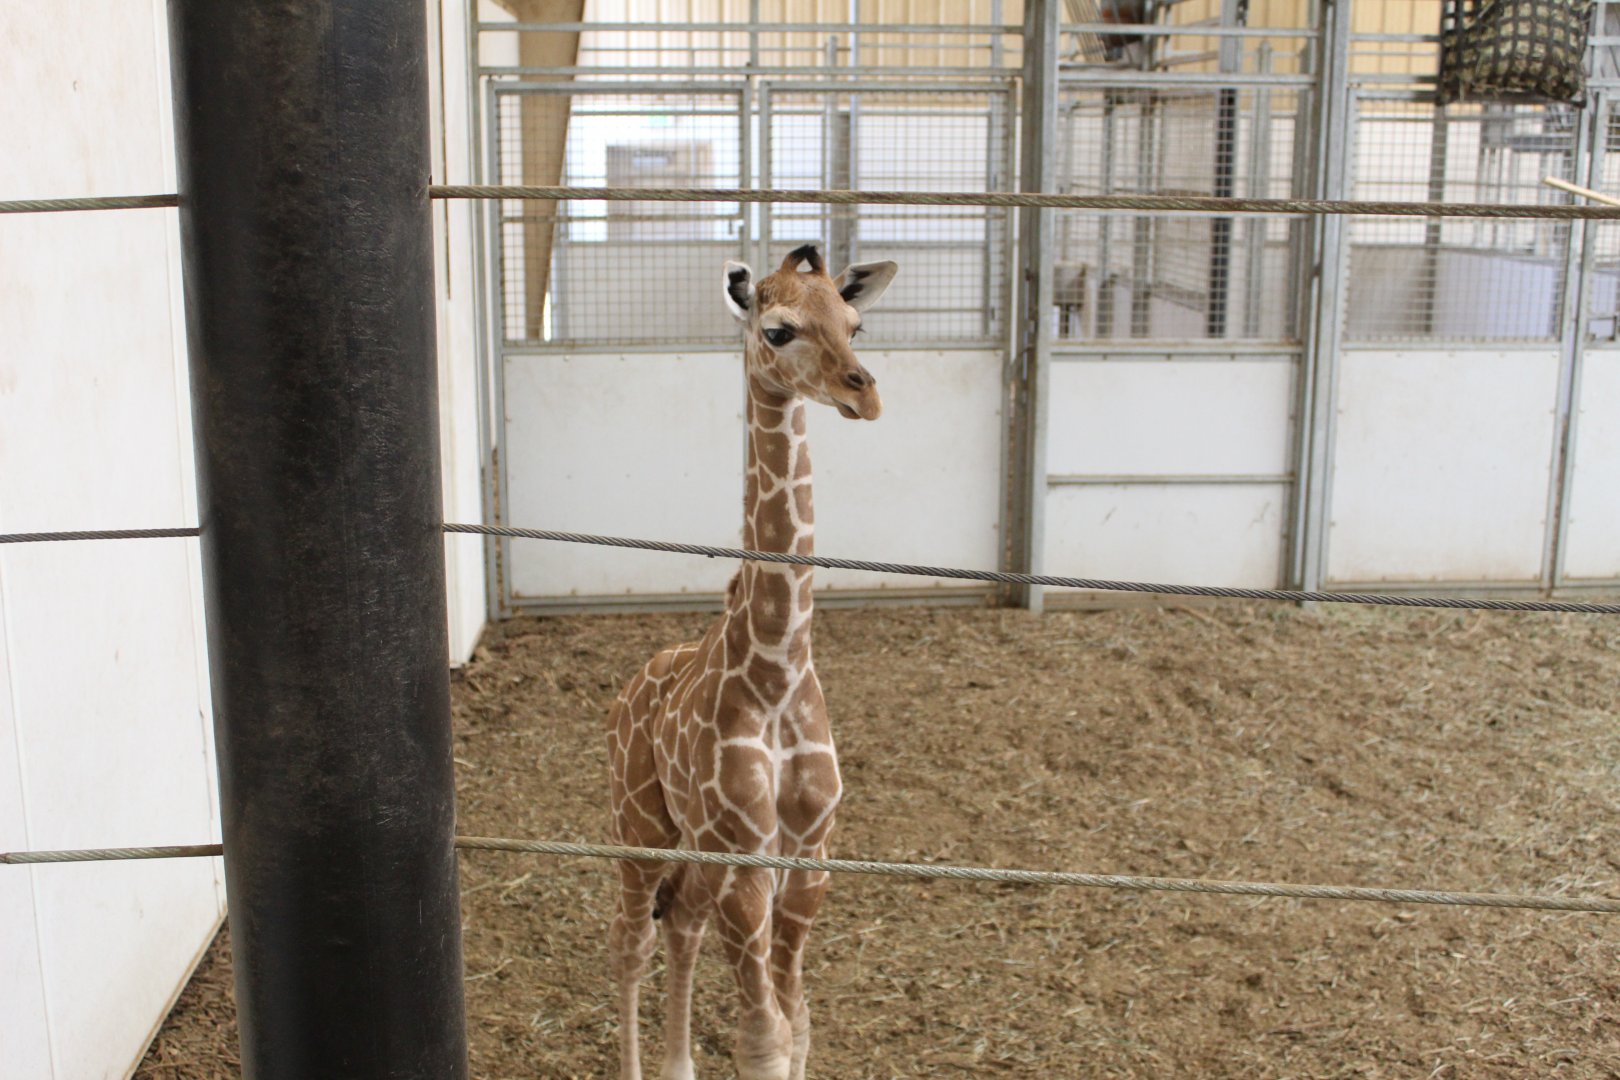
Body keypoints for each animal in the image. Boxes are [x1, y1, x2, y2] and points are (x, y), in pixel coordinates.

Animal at [605, 243, 899, 1080]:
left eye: (856, 323)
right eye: (778, 330)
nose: (864, 394)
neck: (777, 664)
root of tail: (628, 691)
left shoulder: (810, 859)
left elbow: (796, 1024)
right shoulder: (747, 863)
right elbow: (762, 1040)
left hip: (697, 849)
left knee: (680, 924)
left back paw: (677, 1067)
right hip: (637, 823)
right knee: (631, 941)